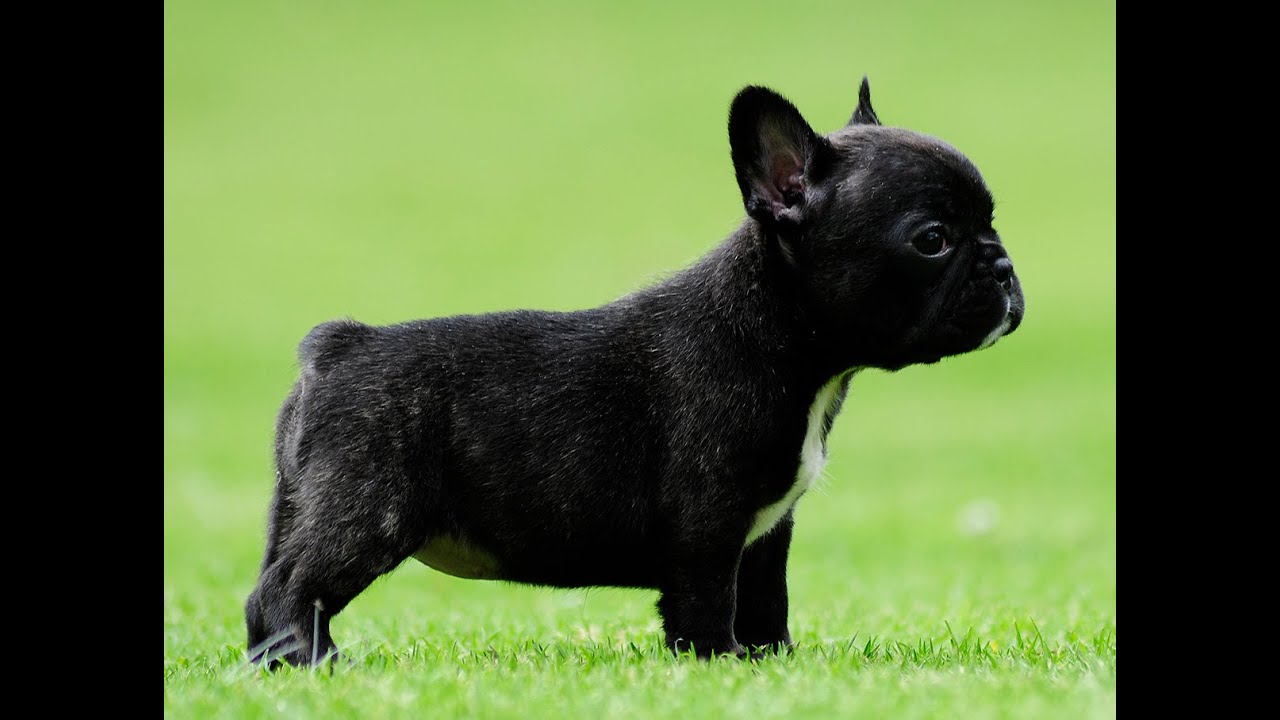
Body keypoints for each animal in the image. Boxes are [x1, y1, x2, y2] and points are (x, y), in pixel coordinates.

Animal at [244, 77, 1024, 661]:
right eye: (932, 239)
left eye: (991, 221)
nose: (1004, 266)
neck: (777, 334)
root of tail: (338, 347)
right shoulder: (708, 526)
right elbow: (707, 604)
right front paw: (717, 665)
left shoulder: (766, 534)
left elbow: (765, 601)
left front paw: (773, 664)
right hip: (367, 510)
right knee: (290, 592)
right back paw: (318, 666)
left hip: (302, 504)